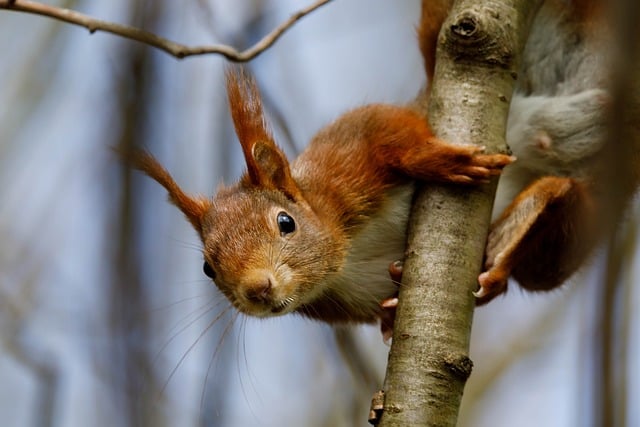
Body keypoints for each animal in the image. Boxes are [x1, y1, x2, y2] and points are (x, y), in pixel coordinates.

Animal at [129, 0, 638, 327]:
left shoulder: (349, 154)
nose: (257, 288)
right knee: (557, 242)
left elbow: (387, 129)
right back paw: (529, 218)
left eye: (285, 222)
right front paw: (393, 314)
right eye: (207, 269)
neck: (344, 258)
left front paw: (439, 160)